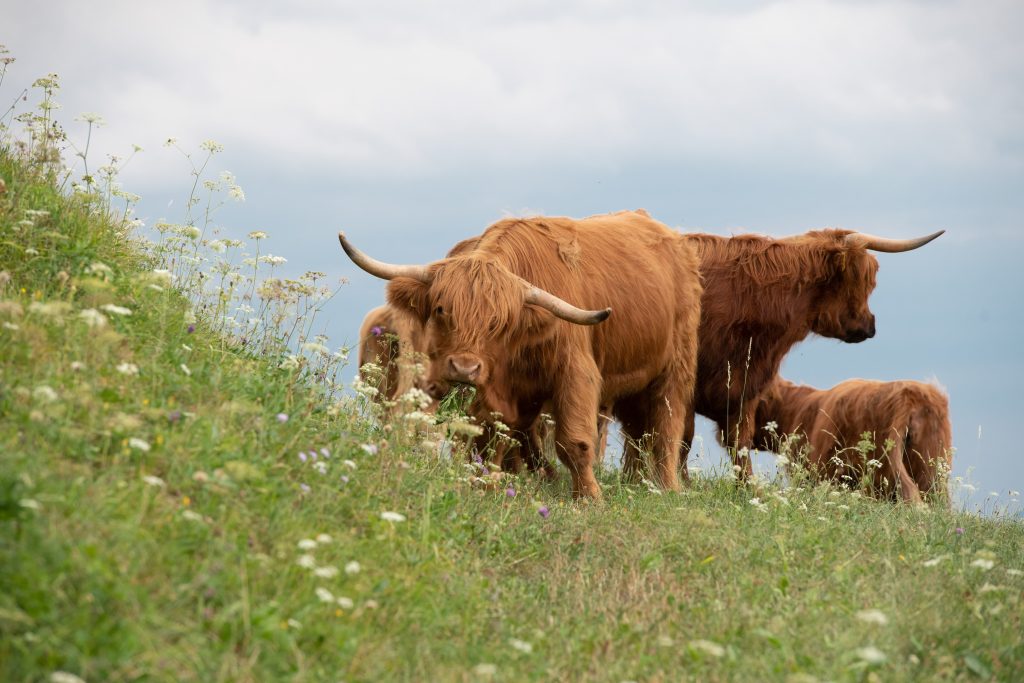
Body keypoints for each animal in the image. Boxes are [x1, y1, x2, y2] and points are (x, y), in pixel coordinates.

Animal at [338, 210, 703, 499]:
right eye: (442, 309)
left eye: (498, 322)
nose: (464, 368)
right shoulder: (491, 388)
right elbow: (490, 438)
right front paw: (486, 486)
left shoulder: (575, 372)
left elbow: (574, 441)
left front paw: (589, 498)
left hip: (676, 365)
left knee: (666, 426)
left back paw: (667, 488)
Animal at [659, 228, 944, 480]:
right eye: (865, 282)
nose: (870, 325)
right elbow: (683, 437)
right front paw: (681, 484)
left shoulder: (743, 386)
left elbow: (738, 443)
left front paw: (748, 489)